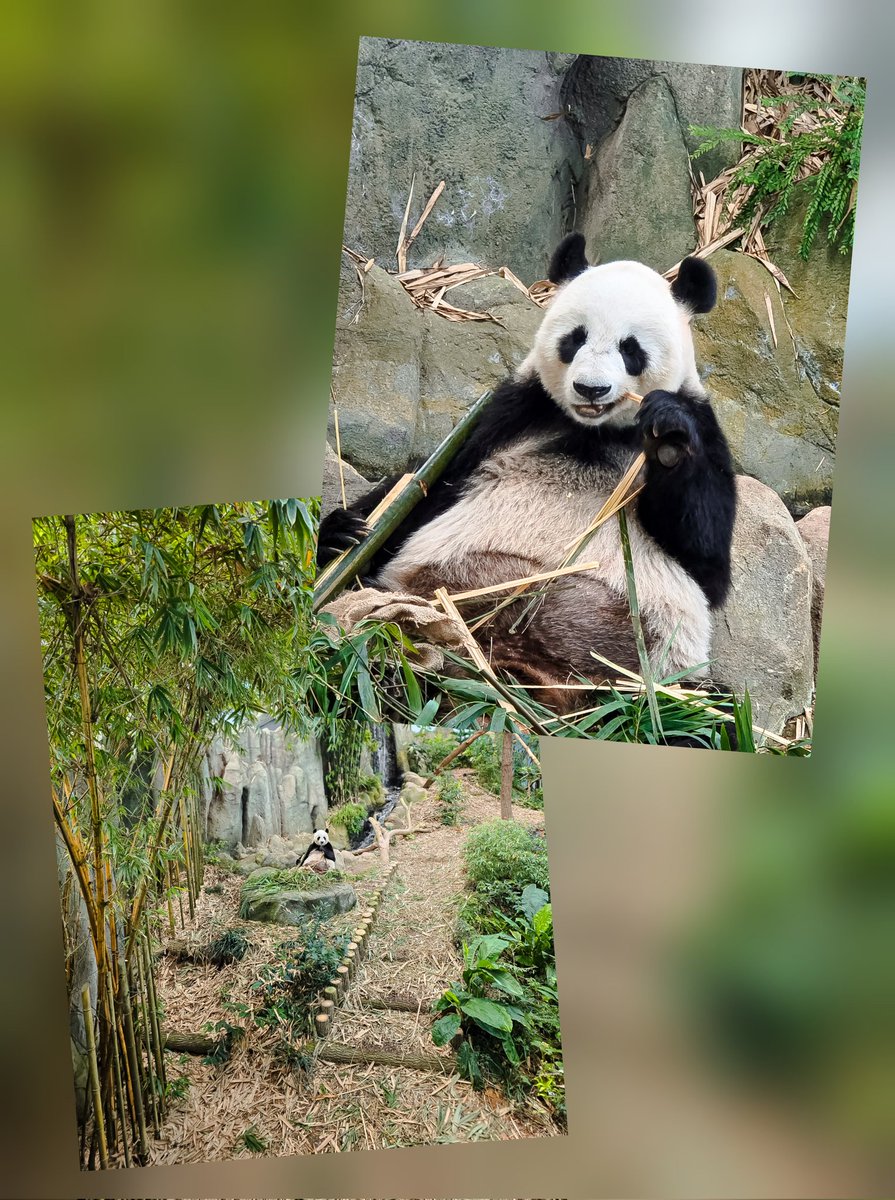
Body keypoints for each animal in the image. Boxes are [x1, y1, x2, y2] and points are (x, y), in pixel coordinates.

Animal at [319, 233, 736, 713]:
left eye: (630, 348)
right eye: (575, 339)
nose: (590, 389)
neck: (594, 431)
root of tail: (526, 673)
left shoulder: (705, 430)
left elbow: (706, 562)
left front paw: (668, 437)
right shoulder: (510, 416)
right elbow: (428, 492)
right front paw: (343, 531)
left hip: (648, 672)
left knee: (707, 712)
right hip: (432, 600)